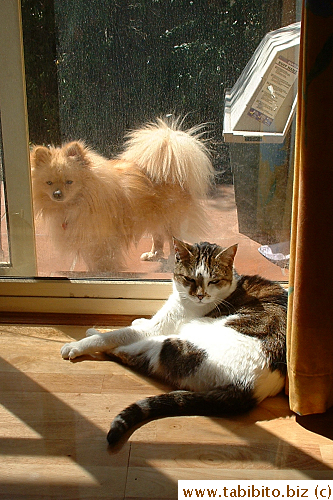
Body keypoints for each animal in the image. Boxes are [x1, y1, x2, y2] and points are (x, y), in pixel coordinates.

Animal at [30, 117, 213, 274]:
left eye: (69, 182)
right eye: (49, 183)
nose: (57, 194)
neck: (76, 203)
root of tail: (171, 169)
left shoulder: (101, 241)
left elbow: (102, 262)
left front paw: (103, 273)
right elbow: (91, 262)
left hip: (170, 219)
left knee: (172, 239)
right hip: (155, 216)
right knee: (158, 236)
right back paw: (154, 254)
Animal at [59, 236, 286, 448]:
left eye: (213, 281)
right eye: (189, 279)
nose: (201, 296)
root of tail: (250, 389)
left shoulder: (157, 329)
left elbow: (116, 335)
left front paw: (79, 344)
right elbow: (141, 323)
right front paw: (137, 319)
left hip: (170, 344)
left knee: (127, 353)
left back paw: (95, 332)